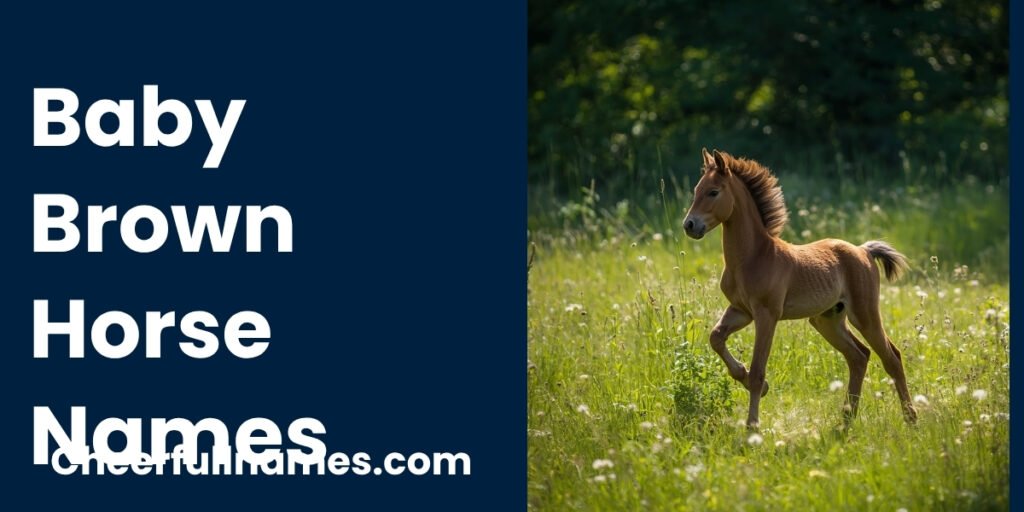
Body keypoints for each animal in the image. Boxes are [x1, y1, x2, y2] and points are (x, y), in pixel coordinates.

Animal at [682, 148, 917, 429]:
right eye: (696, 189)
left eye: (713, 192)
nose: (689, 225)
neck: (754, 256)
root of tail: (863, 250)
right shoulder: (741, 310)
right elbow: (716, 338)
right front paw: (746, 378)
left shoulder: (766, 315)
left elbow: (758, 370)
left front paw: (753, 425)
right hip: (827, 319)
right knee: (859, 356)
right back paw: (846, 420)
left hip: (865, 314)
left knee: (891, 357)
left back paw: (910, 419)